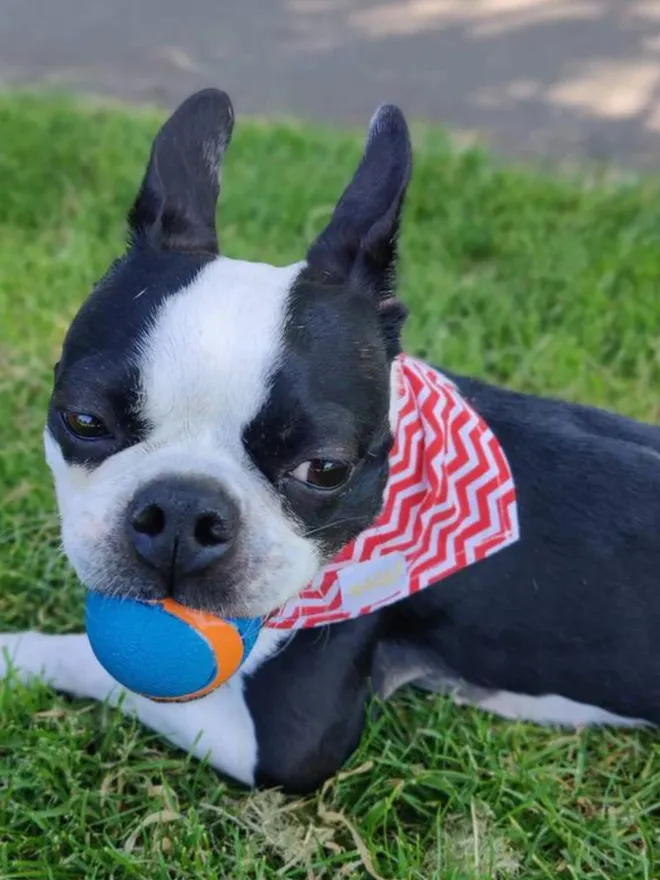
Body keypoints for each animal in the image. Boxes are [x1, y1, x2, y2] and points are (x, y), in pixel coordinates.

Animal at [1, 91, 660, 796]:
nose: (180, 511)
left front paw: (14, 652)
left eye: (324, 468)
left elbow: (97, 664)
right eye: (84, 421)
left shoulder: (286, 742)